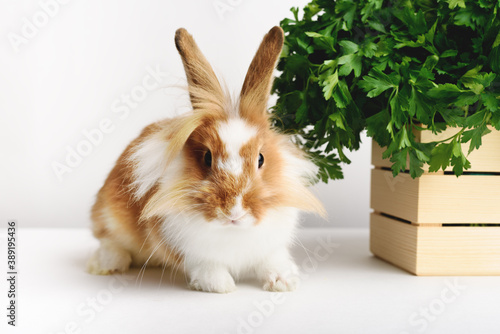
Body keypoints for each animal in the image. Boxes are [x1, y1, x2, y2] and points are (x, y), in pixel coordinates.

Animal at [87, 26, 324, 292]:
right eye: (207, 158)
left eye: (261, 159)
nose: (233, 212)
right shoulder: (191, 252)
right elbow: (208, 267)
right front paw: (221, 286)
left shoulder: (271, 246)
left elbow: (273, 260)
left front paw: (284, 282)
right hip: (108, 213)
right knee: (109, 241)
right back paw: (107, 264)